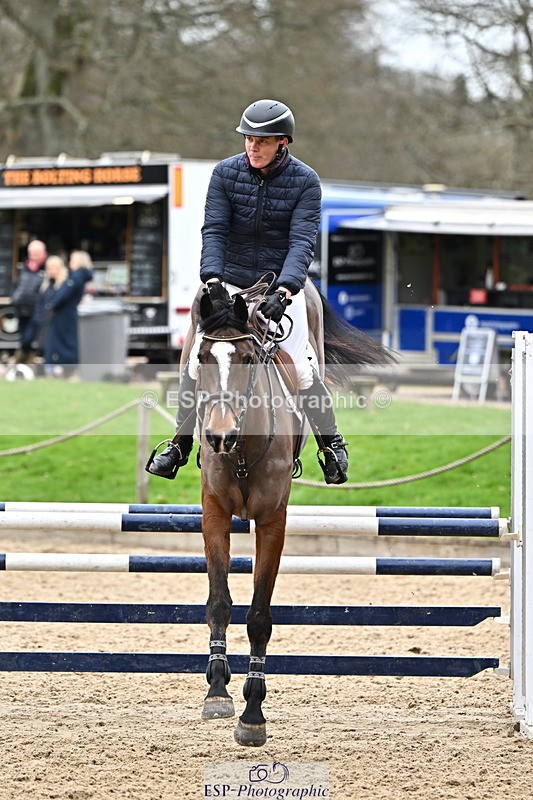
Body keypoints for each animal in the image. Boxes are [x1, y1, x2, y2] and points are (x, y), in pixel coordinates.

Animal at [187, 279, 392, 746]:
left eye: (247, 359)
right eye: (203, 358)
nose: (219, 436)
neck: (242, 450)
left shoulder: (272, 521)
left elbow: (259, 616)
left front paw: (253, 714)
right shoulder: (214, 513)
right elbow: (219, 602)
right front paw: (217, 691)